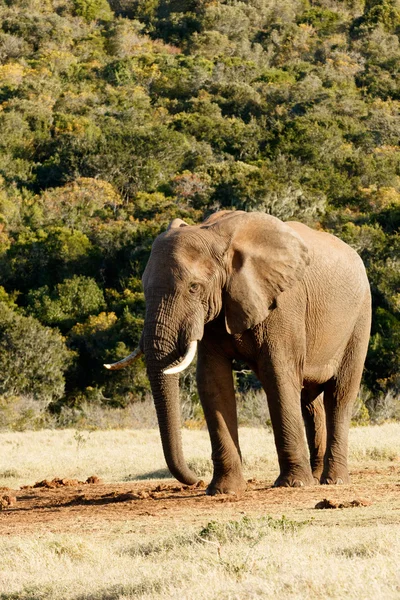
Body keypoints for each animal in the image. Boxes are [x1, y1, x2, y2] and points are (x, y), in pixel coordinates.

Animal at [105, 209, 372, 494]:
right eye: (144, 289)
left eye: (194, 287)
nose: (195, 480)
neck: (215, 235)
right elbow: (212, 381)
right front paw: (223, 490)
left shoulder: (283, 304)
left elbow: (278, 376)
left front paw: (293, 484)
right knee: (310, 402)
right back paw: (317, 476)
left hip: (360, 318)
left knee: (339, 395)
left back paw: (334, 480)